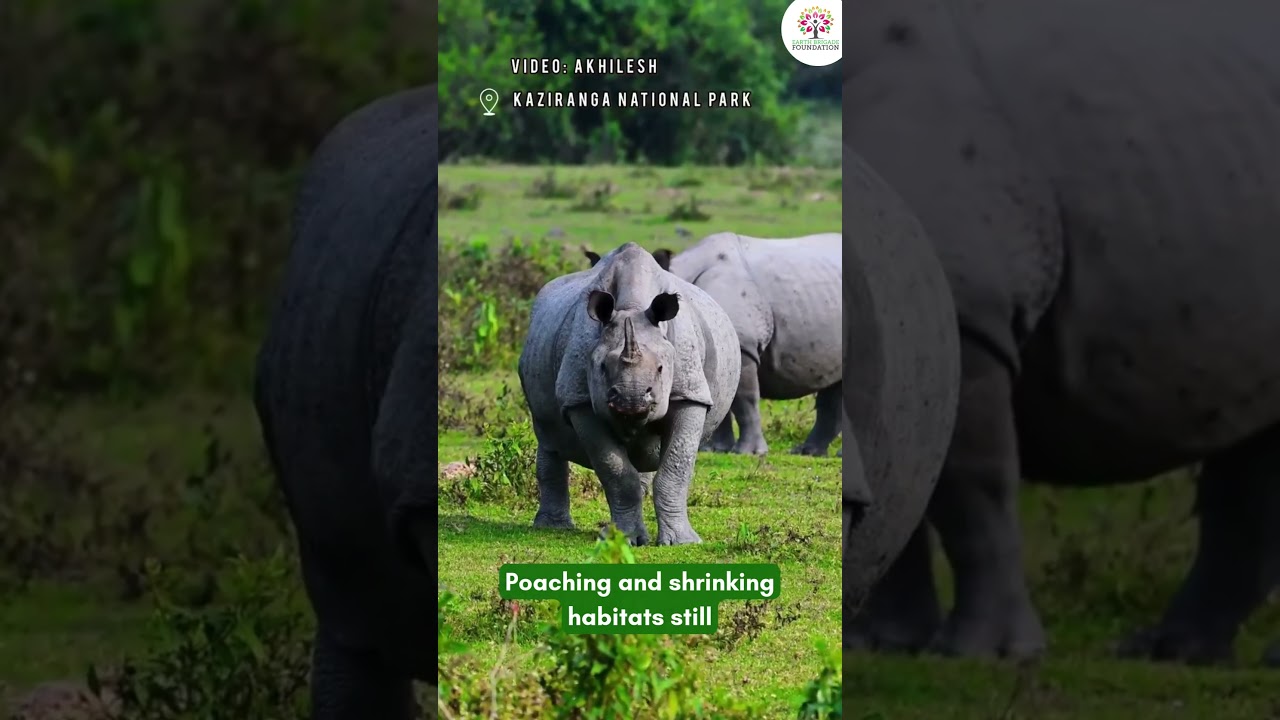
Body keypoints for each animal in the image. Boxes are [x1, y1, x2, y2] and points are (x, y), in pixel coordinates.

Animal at [519, 242, 741, 545]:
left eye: (661, 369)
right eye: (601, 368)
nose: (630, 399)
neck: (633, 306)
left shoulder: (690, 392)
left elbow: (676, 467)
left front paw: (683, 542)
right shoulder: (580, 400)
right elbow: (615, 471)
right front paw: (625, 540)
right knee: (549, 438)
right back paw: (552, 527)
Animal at [587, 233, 842, 457]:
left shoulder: (743, 346)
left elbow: (745, 400)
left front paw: (749, 453)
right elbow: (720, 397)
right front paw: (715, 449)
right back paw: (809, 452)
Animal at [848, 0, 1280, 664]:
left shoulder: (969, 315)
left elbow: (971, 485)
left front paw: (984, 656)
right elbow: (904, 470)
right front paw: (883, 645)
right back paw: (1169, 653)